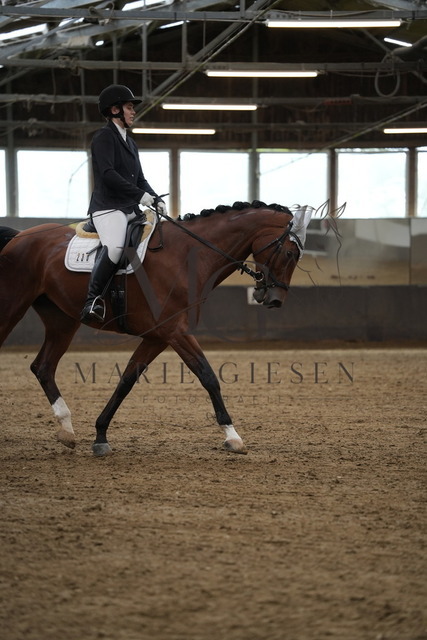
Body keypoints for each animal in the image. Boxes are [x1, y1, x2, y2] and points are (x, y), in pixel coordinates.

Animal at [0, 200, 312, 456]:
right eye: (288, 252)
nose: (274, 299)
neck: (187, 255)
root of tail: (19, 237)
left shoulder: (157, 337)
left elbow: (127, 380)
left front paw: (100, 436)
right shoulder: (176, 331)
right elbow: (208, 376)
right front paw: (232, 436)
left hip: (62, 320)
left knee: (43, 367)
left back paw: (66, 430)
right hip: (12, 306)